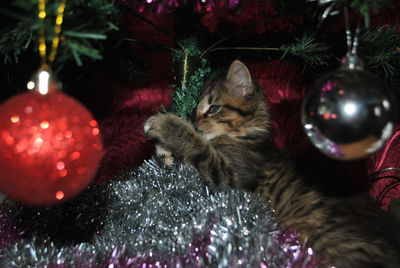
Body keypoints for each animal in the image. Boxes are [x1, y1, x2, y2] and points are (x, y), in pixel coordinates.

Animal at [144, 60, 400, 268]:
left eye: (213, 108)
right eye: (195, 111)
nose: (196, 123)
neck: (245, 137)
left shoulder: (231, 177)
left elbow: (200, 148)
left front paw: (166, 126)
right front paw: (165, 152)